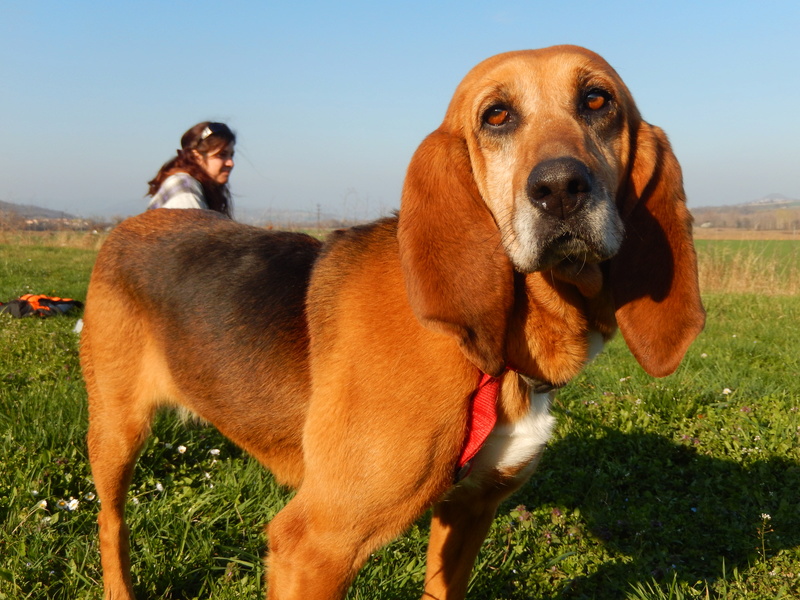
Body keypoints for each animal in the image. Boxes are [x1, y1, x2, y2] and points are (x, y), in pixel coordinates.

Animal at [81, 44, 704, 596]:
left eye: (598, 101)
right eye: (496, 115)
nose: (560, 189)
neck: (491, 355)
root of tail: (130, 226)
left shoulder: (468, 510)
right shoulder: (313, 547)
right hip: (114, 433)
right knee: (111, 525)